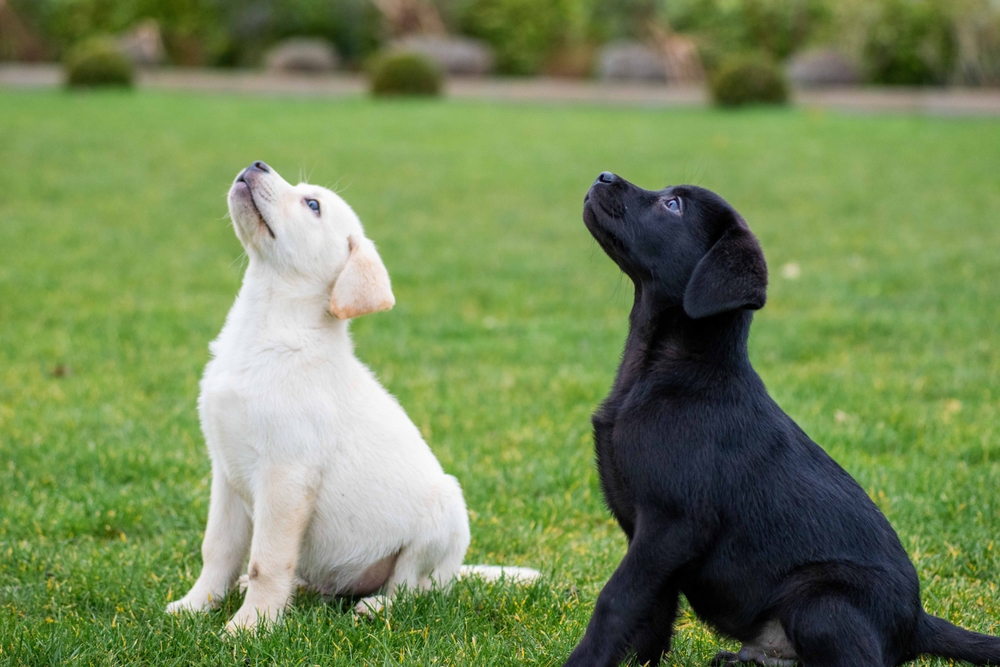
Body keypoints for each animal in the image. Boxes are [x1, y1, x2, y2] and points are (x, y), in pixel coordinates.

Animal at [167, 160, 540, 632]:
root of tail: (455, 572)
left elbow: (265, 562)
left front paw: (251, 626)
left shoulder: (285, 475)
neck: (267, 327)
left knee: (414, 590)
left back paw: (375, 606)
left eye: (312, 205)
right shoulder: (226, 472)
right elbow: (217, 550)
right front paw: (195, 605)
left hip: (443, 517)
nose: (257, 164)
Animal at [572, 171, 1000, 667]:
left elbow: (616, 602)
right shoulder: (653, 544)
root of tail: (916, 622)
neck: (661, 372)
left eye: (673, 205)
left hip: (820, 600)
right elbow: (649, 620)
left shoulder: (671, 525)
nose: (603, 175)